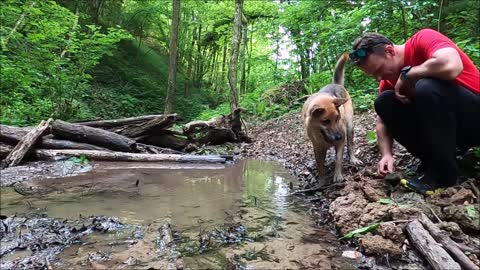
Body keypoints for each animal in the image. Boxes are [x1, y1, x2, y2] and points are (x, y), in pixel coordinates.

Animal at [304, 52, 360, 184]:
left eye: (338, 118)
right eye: (325, 121)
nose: (339, 136)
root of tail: (336, 84)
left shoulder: (340, 143)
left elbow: (339, 159)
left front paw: (338, 175)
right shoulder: (317, 148)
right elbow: (320, 166)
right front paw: (321, 181)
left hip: (350, 127)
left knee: (350, 145)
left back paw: (353, 158)